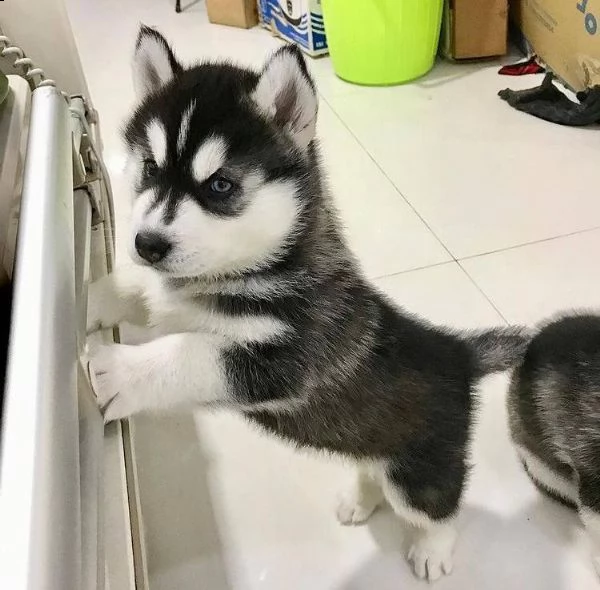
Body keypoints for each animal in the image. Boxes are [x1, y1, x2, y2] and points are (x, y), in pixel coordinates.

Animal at [89, 26, 528, 584]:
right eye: (149, 167)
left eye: (220, 185)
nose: (147, 244)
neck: (247, 270)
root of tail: (457, 351)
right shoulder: (172, 298)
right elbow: (142, 294)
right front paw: (92, 296)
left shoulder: (289, 360)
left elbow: (191, 351)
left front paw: (119, 372)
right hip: (372, 439)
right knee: (370, 465)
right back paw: (361, 498)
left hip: (419, 470)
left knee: (438, 507)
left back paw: (433, 549)